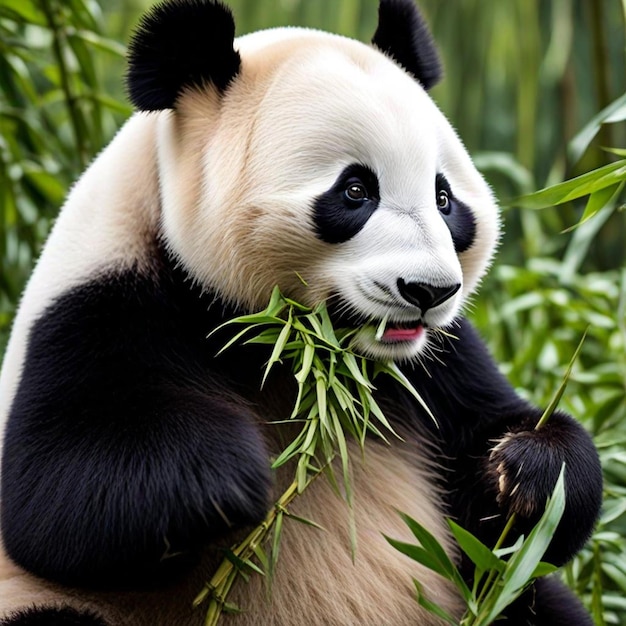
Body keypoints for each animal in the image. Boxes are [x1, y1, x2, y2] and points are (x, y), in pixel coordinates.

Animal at [0, 0, 600, 620]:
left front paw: (525, 469)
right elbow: (51, 495)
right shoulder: (97, 311)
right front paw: (229, 475)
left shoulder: (433, 363)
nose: (428, 291)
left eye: (444, 199)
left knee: (534, 600)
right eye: (356, 191)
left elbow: (509, 499)